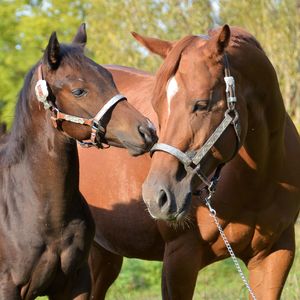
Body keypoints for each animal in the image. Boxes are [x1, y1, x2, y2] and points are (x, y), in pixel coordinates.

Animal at [79, 26, 300, 300]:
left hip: (104, 253)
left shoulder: (275, 255)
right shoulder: (180, 258)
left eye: (202, 104)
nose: (156, 196)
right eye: (156, 106)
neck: (259, 181)